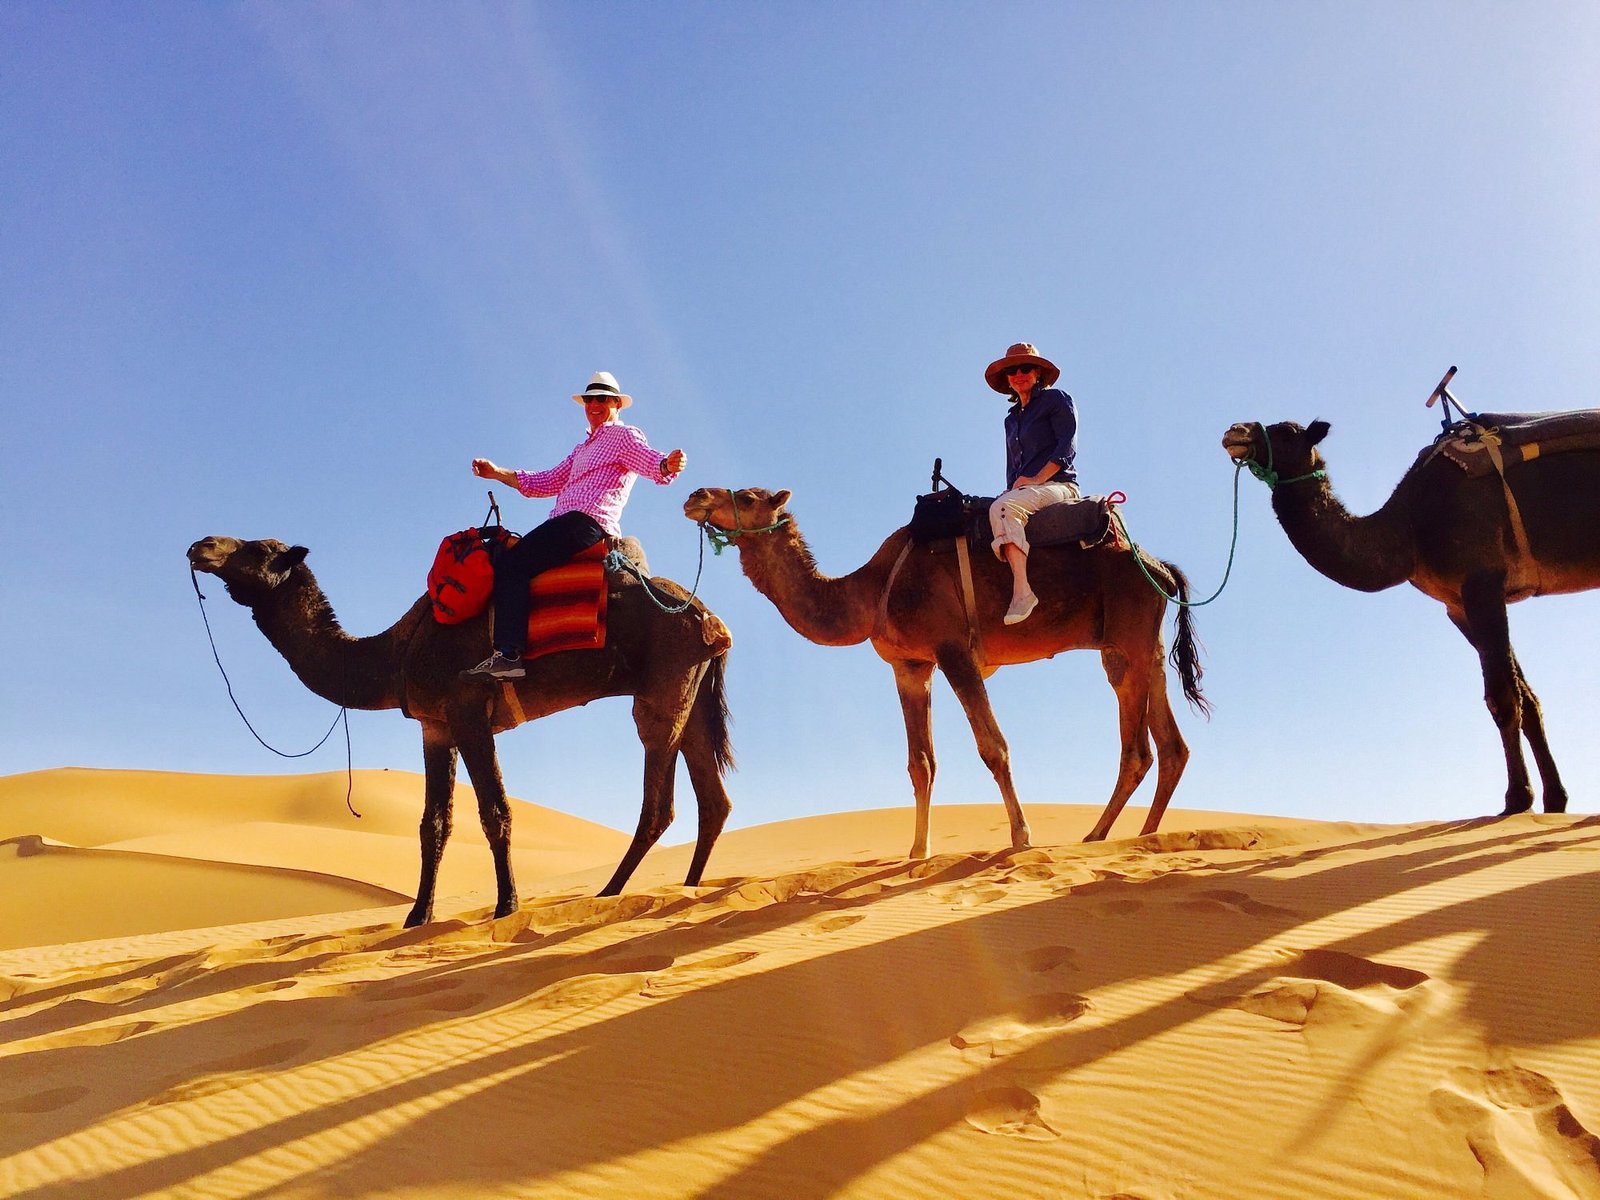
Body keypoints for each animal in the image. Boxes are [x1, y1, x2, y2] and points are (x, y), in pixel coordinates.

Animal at [187, 535, 734, 926]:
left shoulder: (470, 711)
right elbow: (433, 824)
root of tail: (710, 616)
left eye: (258, 549)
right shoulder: (435, 726)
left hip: (662, 687)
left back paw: (609, 893)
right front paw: (417, 916)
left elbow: (495, 812)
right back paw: (686, 890)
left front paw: (507, 906)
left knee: (659, 802)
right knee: (713, 797)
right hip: (692, 692)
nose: (201, 545)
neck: (395, 652)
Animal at [681, 487, 1208, 855]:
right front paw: (917, 851)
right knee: (1172, 746)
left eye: (747, 497)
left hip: (1126, 636)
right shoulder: (910, 665)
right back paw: (1143, 836)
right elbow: (921, 763)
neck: (871, 590)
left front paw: (1021, 837)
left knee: (1138, 749)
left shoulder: (953, 650)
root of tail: (1160, 566)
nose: (695, 496)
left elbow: (993, 747)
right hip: (1143, 644)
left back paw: (1098, 835)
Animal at [1222, 418, 1600, 814]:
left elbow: (1503, 697)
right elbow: (1528, 700)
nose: (1236, 431)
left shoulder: (1483, 581)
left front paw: (1517, 800)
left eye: (1287, 431)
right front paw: (1555, 801)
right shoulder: (1458, 606)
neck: (1410, 529)